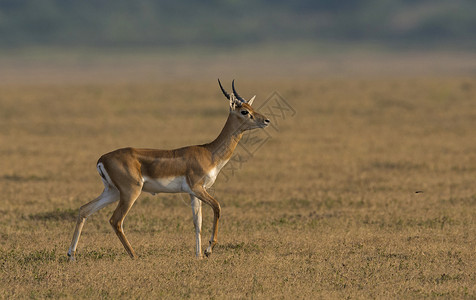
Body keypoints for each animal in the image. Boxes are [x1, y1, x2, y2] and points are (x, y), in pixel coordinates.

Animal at [66, 79, 272, 260]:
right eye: (244, 111)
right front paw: (208, 250)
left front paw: (198, 256)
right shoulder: (198, 188)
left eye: (252, 108)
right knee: (115, 220)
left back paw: (71, 255)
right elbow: (217, 207)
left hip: (112, 192)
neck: (209, 152)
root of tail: (102, 159)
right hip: (130, 192)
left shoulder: (193, 193)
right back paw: (134, 255)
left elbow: (197, 222)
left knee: (84, 210)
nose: (266, 120)